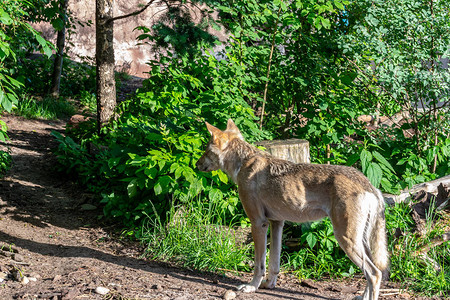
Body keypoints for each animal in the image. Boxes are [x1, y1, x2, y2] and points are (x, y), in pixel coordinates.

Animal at [197, 119, 390, 300]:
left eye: (206, 151)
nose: (197, 164)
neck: (243, 162)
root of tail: (370, 185)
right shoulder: (277, 223)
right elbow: (274, 264)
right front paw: (269, 285)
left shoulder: (258, 223)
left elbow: (260, 265)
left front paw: (251, 287)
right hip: (359, 242)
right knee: (373, 271)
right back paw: (362, 297)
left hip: (345, 239)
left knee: (374, 273)